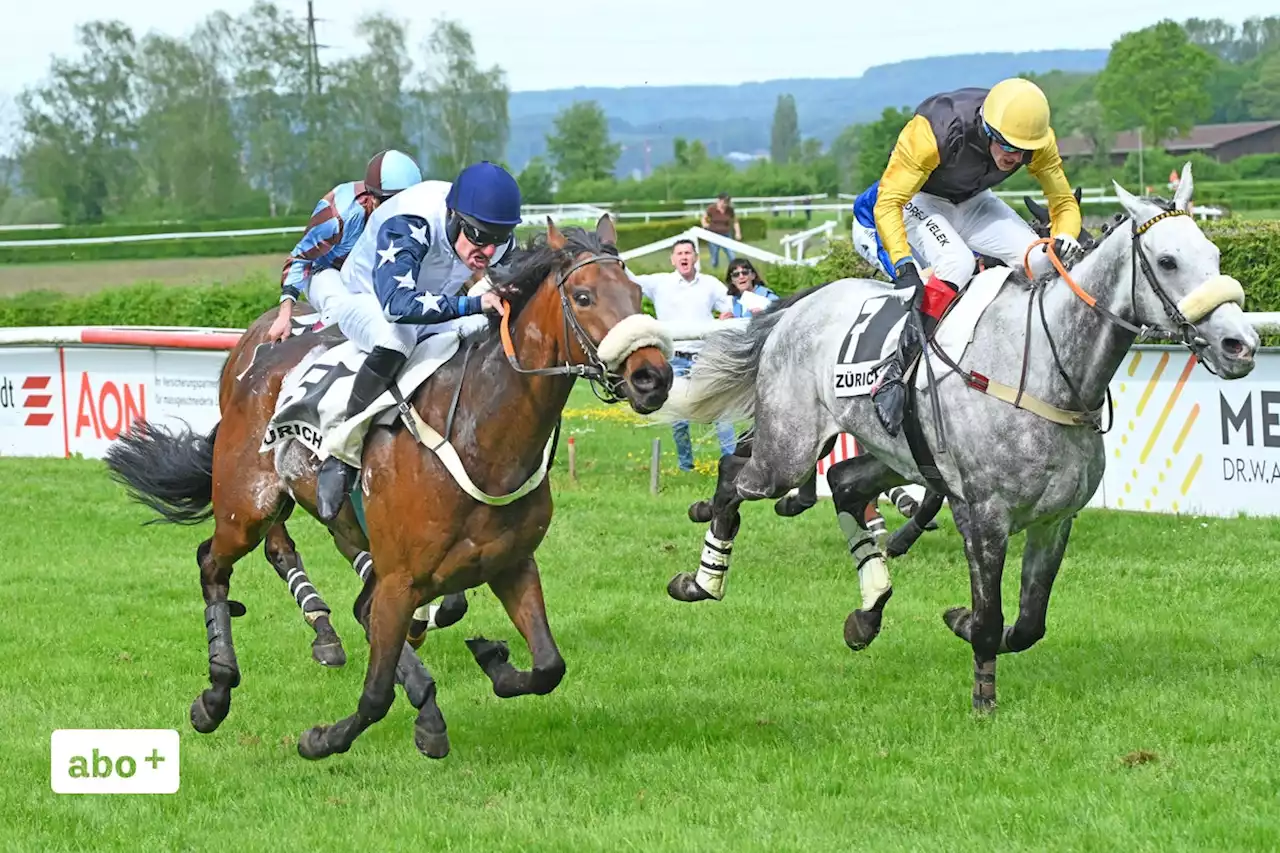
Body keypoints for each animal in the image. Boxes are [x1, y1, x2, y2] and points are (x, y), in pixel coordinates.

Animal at [104, 213, 675, 758]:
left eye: (638, 293)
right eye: (584, 296)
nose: (654, 378)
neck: (481, 434)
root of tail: (251, 360)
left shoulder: (510, 563)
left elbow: (549, 665)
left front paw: (492, 659)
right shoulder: (401, 577)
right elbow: (376, 694)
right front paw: (322, 739)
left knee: (345, 598)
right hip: (247, 508)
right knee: (215, 564)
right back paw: (217, 693)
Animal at [655, 162, 1254, 706]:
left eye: (1215, 255)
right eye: (1167, 260)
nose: (1240, 345)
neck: (1047, 370)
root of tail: (802, 304)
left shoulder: (1055, 519)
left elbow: (1029, 623)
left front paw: (958, 619)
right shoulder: (983, 516)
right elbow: (991, 616)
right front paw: (982, 694)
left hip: (889, 451)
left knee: (844, 482)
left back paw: (867, 610)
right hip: (789, 445)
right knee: (736, 474)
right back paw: (702, 580)